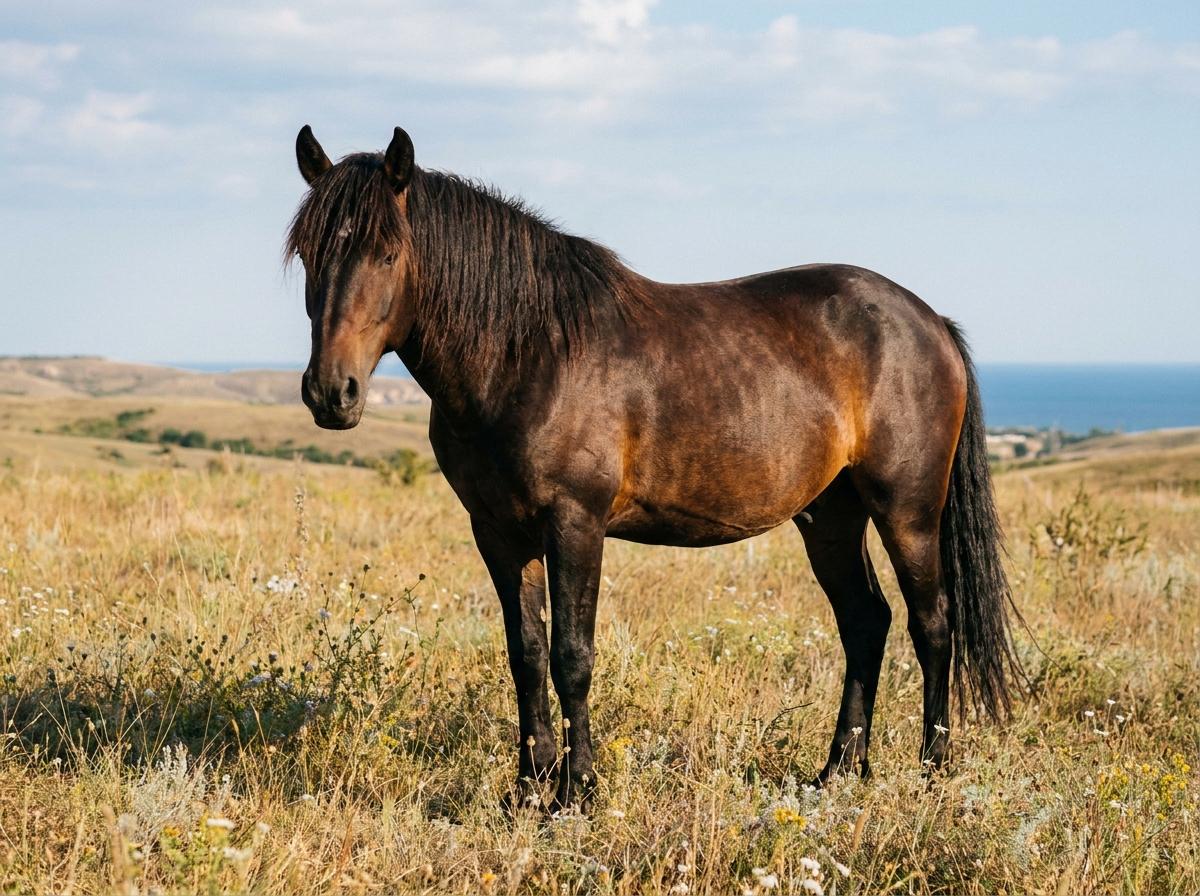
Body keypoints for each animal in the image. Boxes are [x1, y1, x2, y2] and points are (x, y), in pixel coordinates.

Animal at [286, 125, 1023, 813]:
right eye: (309, 254)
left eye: (387, 253)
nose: (331, 393)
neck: (528, 352)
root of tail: (929, 321)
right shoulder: (498, 531)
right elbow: (526, 655)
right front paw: (527, 787)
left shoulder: (574, 523)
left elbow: (571, 656)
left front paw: (575, 792)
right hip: (829, 517)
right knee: (866, 622)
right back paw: (837, 772)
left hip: (908, 511)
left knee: (933, 625)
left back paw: (932, 771)